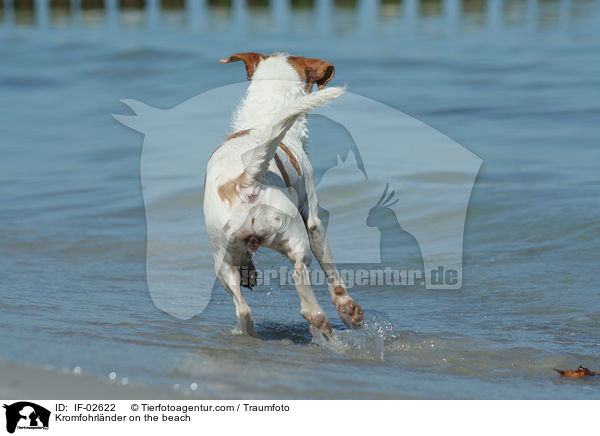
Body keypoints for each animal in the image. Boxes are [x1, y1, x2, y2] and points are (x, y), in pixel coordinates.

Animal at [204, 51, 364, 338]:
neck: (261, 124)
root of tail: (246, 182)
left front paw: (249, 269)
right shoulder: (313, 219)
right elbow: (331, 269)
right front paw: (348, 309)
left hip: (221, 262)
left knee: (244, 311)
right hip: (296, 238)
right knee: (308, 299)